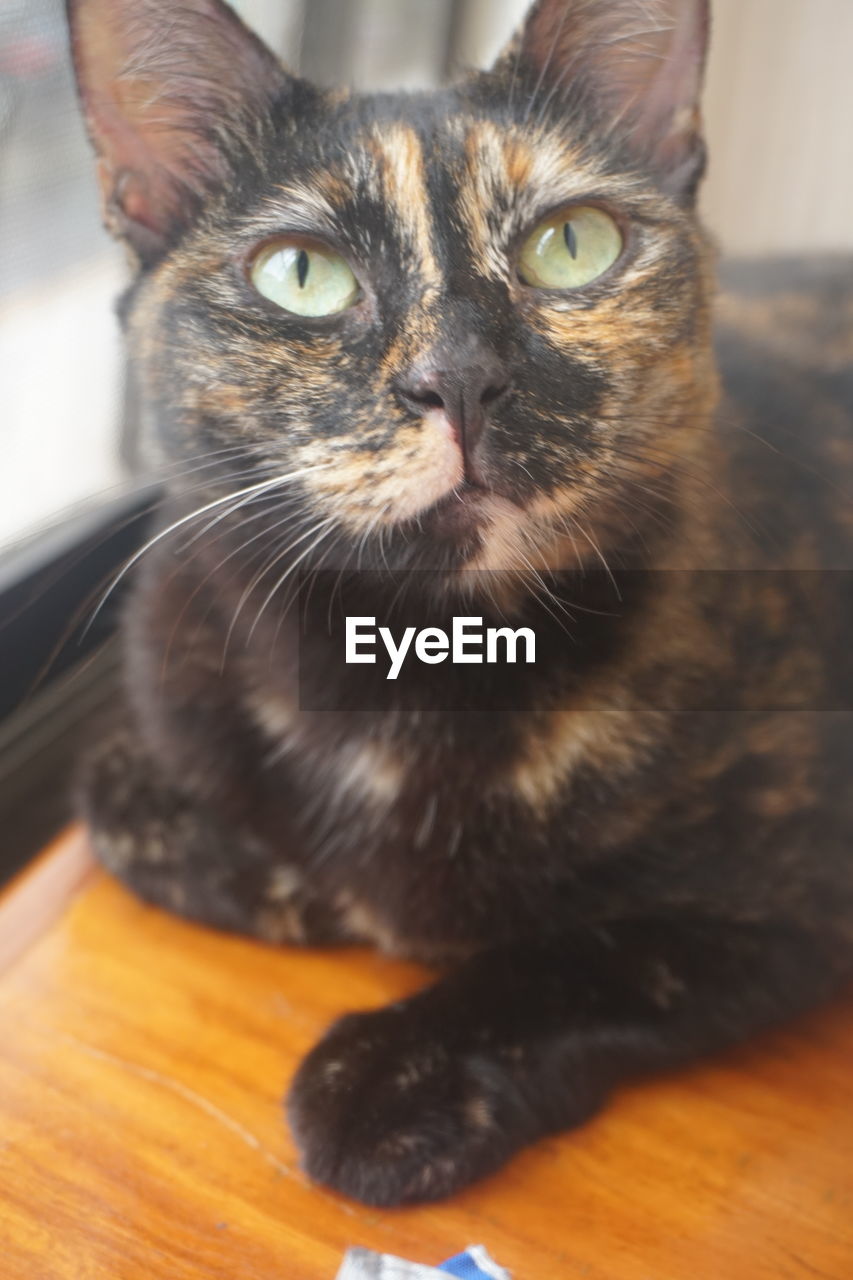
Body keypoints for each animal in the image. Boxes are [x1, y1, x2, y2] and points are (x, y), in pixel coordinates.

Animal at [68, 0, 850, 1208]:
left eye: (573, 245)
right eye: (302, 273)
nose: (459, 378)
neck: (410, 659)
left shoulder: (797, 887)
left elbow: (592, 957)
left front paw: (389, 1076)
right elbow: (115, 800)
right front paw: (301, 885)